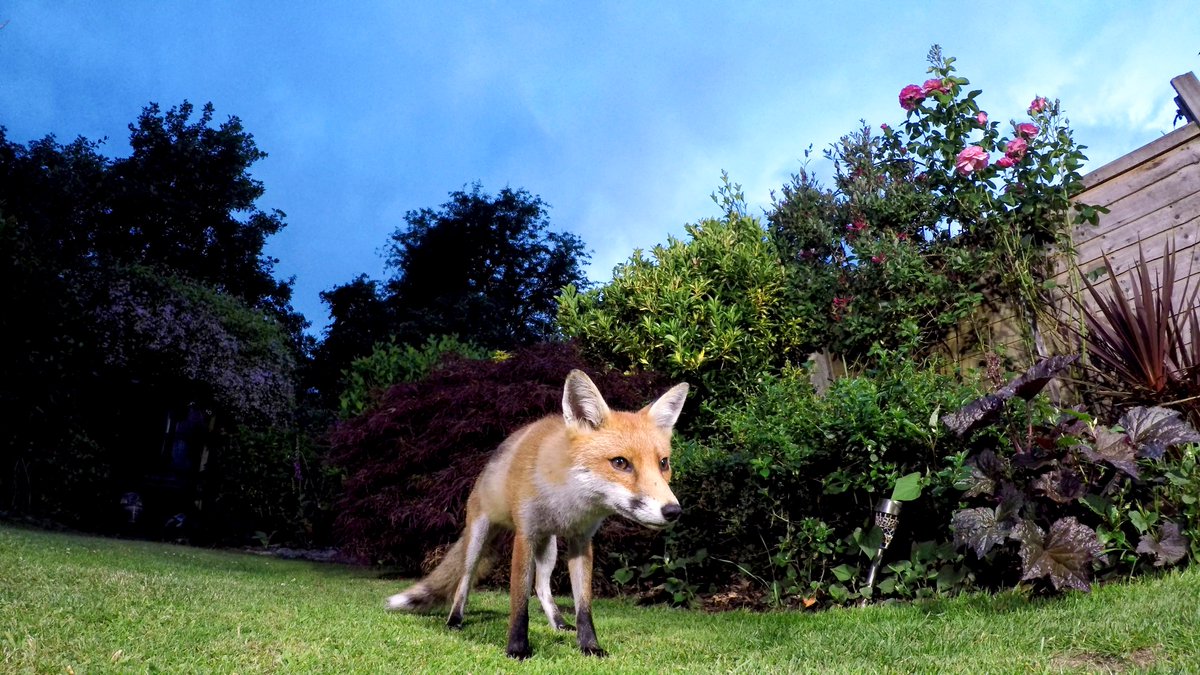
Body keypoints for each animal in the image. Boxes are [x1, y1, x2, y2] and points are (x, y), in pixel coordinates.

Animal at [385, 369, 689, 659]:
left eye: (663, 463)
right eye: (620, 463)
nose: (673, 511)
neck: (568, 503)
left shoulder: (581, 542)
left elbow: (584, 606)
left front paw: (589, 646)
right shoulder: (525, 536)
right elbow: (519, 601)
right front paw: (517, 649)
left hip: (549, 547)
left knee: (542, 586)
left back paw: (558, 623)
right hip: (479, 539)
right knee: (465, 578)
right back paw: (455, 619)